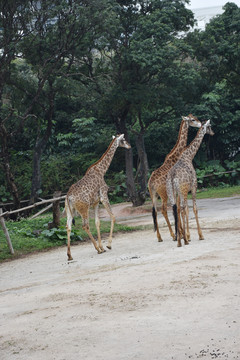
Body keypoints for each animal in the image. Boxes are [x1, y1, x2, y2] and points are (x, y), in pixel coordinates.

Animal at [148, 114, 201, 242]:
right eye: (193, 120)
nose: (200, 124)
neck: (176, 155)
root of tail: (151, 183)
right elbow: (178, 208)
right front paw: (182, 234)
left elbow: (177, 208)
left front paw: (181, 234)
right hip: (163, 194)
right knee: (163, 210)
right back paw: (173, 235)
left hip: (153, 195)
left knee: (155, 211)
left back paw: (160, 237)